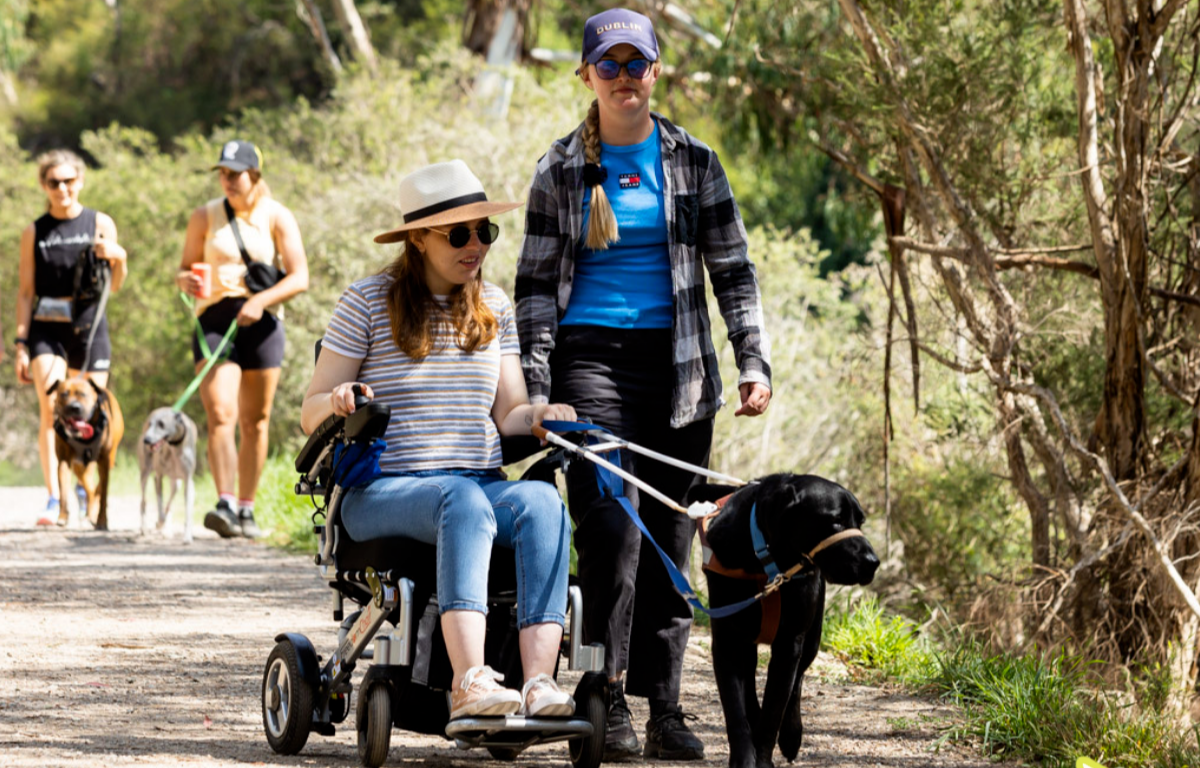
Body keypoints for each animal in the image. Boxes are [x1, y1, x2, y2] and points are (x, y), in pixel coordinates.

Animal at [47, 376, 124, 528]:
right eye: (63, 394)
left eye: (83, 394)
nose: (74, 407)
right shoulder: (64, 462)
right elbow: (63, 492)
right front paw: (62, 516)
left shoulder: (104, 461)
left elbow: (104, 494)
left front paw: (102, 521)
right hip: (80, 466)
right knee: (90, 488)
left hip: (109, 459)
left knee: (96, 489)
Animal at [691, 475, 878, 768]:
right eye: (835, 520)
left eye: (860, 522)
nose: (873, 562)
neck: (768, 562)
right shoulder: (727, 641)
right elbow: (735, 710)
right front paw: (744, 758)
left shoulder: (790, 642)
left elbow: (774, 711)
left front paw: (763, 758)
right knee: (750, 680)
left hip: (812, 638)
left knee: (797, 681)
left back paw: (791, 735)